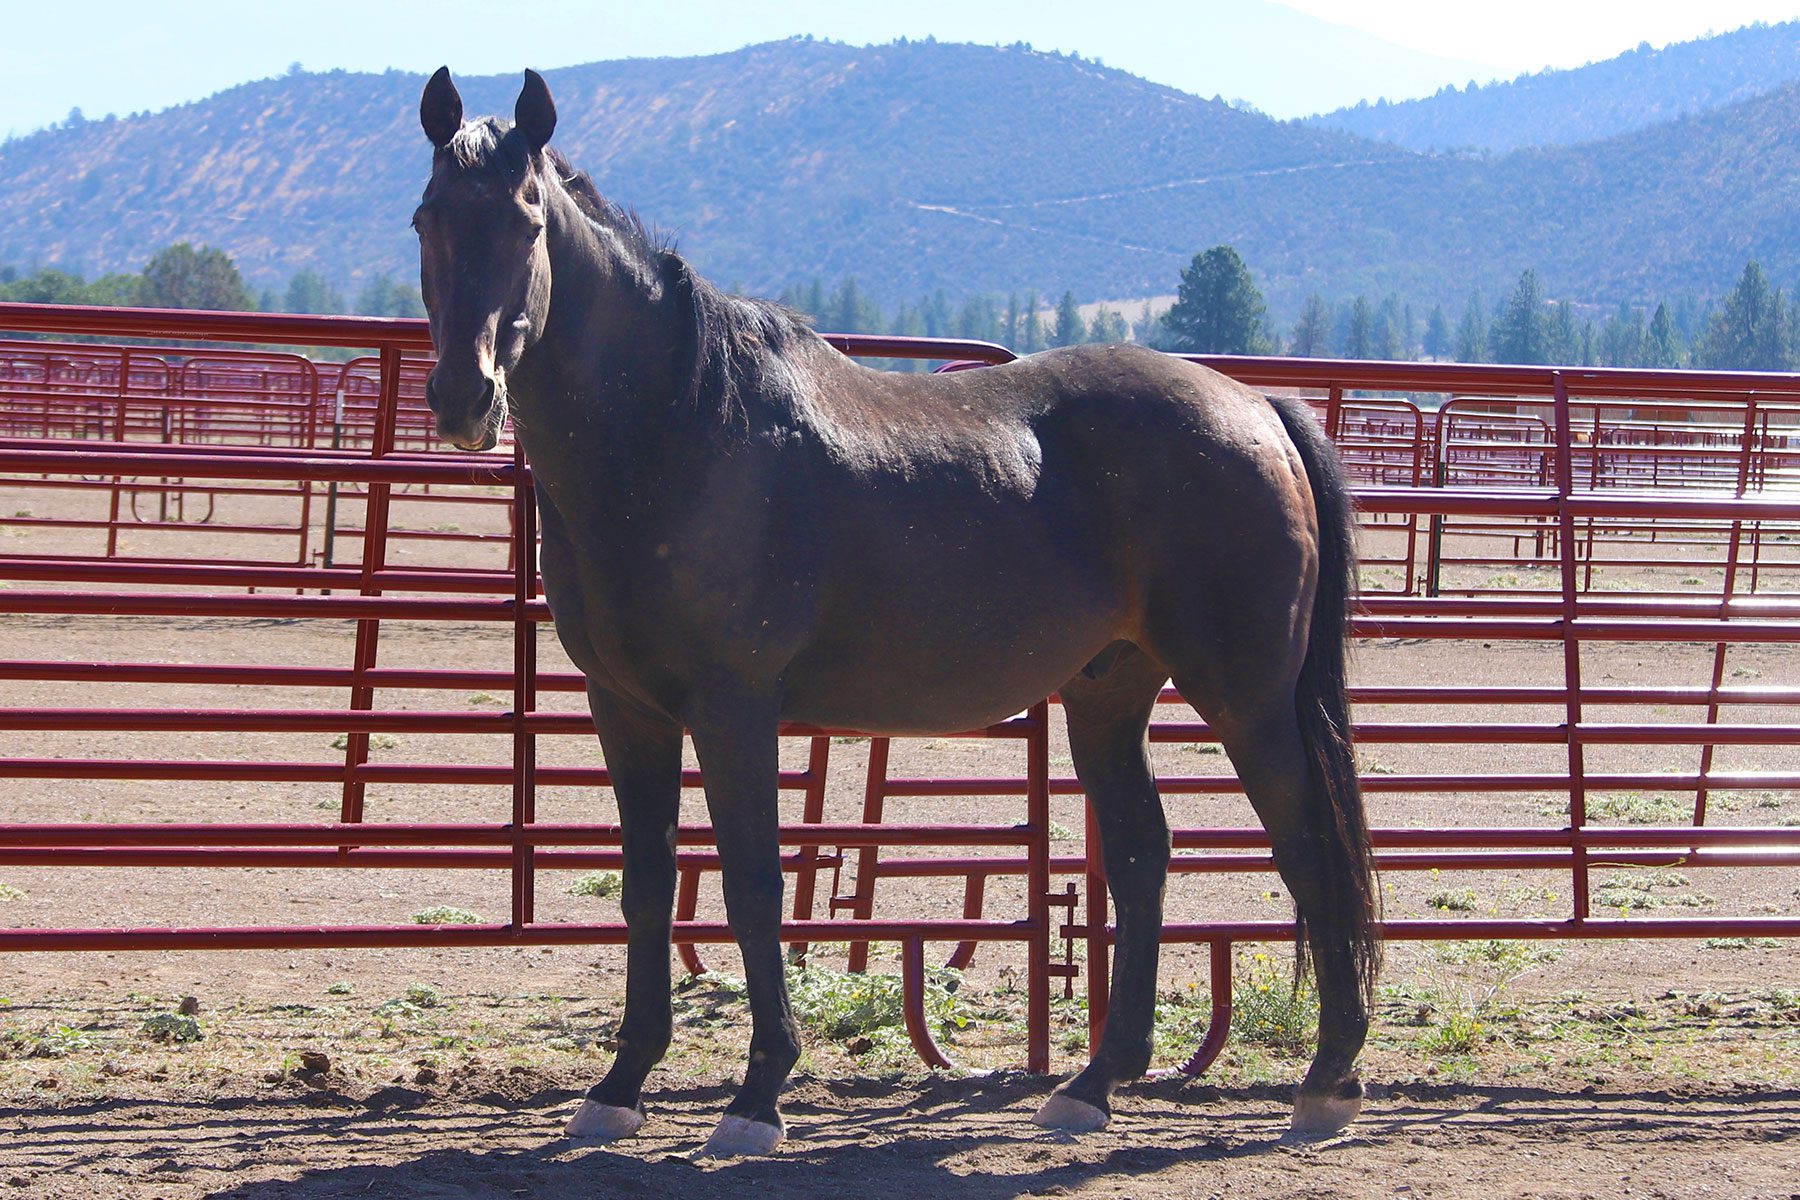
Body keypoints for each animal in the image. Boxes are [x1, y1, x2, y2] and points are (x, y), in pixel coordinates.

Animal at [412, 67, 1378, 1157]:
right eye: (428, 219)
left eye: (527, 222)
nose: (462, 397)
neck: (679, 427)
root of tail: (1260, 408)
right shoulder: (628, 711)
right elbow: (647, 886)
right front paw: (620, 1087)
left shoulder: (733, 709)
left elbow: (752, 886)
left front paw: (758, 1096)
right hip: (1108, 694)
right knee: (1141, 857)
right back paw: (1093, 1084)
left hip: (1246, 697)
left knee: (1309, 847)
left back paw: (1327, 1083)